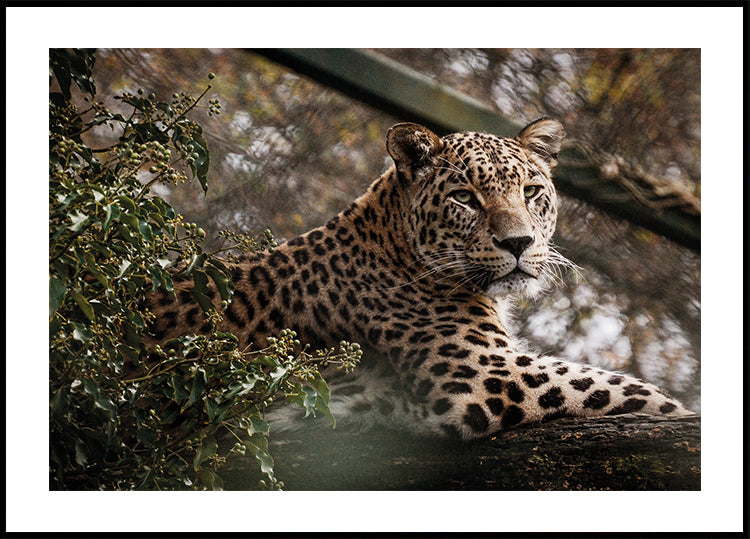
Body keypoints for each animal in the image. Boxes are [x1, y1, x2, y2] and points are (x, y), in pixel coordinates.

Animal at [148, 118, 693, 440]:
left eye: (532, 191)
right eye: (465, 198)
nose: (519, 243)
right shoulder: (487, 374)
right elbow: (622, 389)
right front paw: (685, 415)